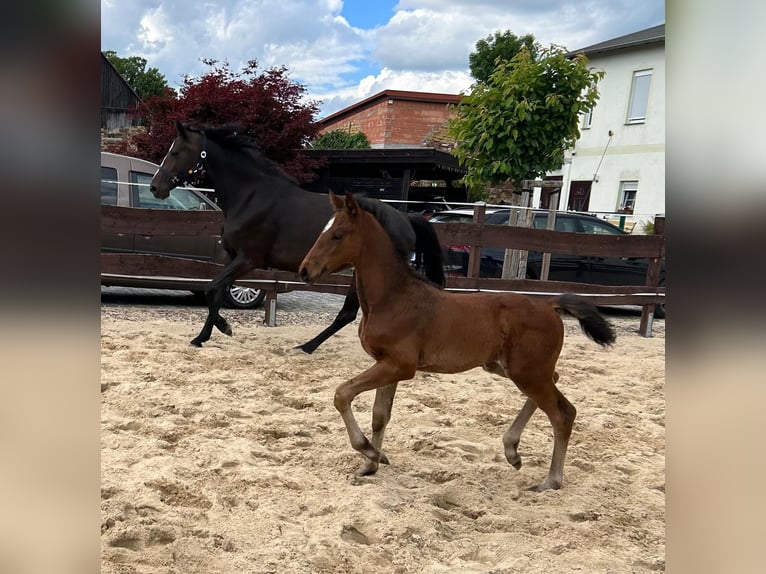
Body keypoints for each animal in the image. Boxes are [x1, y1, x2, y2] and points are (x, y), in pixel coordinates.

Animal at [148, 124, 444, 354]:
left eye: (175, 152)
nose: (154, 187)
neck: (251, 195)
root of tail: (406, 218)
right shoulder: (231, 258)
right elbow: (217, 292)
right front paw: (201, 338)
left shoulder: (248, 259)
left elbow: (211, 289)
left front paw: (225, 327)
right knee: (350, 313)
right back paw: (308, 346)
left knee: (356, 312)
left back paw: (308, 347)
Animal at [300, 196, 616, 492]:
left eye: (338, 234)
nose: (305, 271)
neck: (393, 298)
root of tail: (549, 305)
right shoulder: (385, 363)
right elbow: (380, 416)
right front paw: (371, 464)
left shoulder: (399, 366)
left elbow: (342, 394)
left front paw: (369, 451)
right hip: (511, 368)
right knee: (558, 385)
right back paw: (512, 450)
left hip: (527, 373)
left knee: (562, 414)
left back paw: (550, 480)